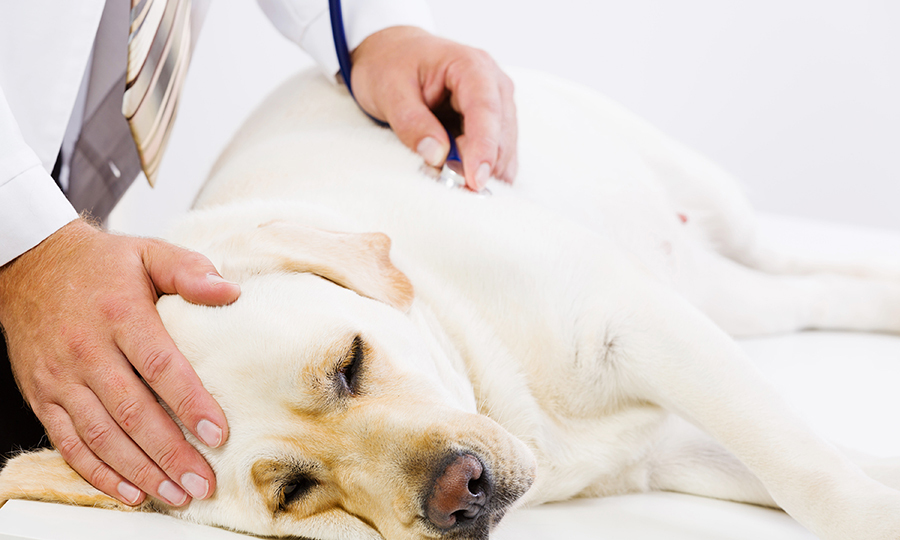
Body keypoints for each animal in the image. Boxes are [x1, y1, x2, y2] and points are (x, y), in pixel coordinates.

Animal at [1, 68, 900, 540]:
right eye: (295, 490)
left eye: (349, 364)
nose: (458, 491)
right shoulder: (666, 448)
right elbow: (816, 461)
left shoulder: (638, 326)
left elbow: (814, 473)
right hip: (725, 297)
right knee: (805, 293)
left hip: (707, 219)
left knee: (792, 255)